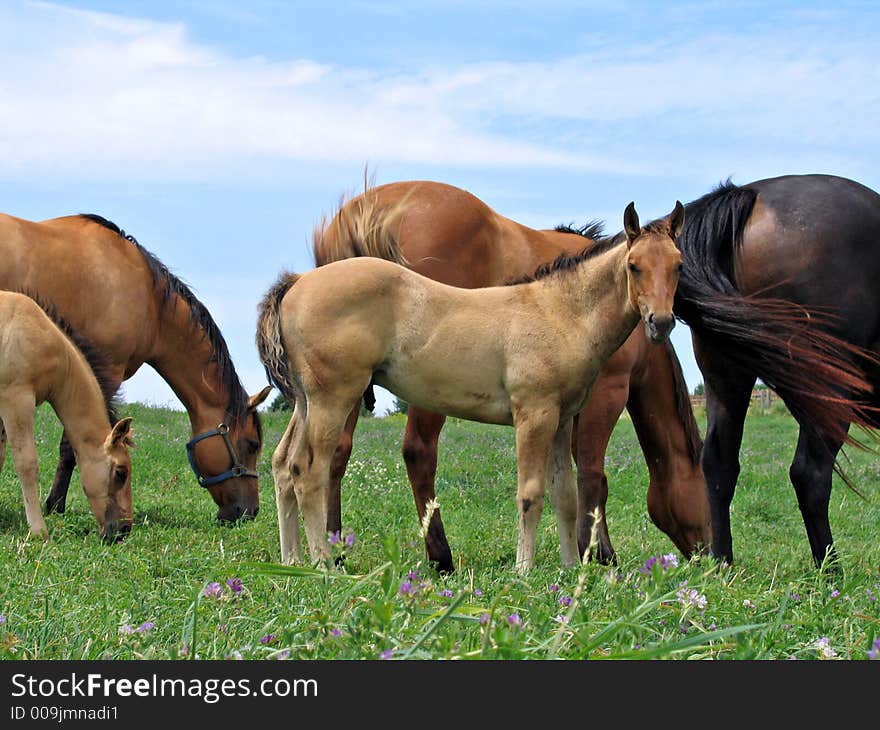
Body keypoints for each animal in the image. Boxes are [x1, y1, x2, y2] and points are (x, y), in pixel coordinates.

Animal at [258, 200, 684, 576]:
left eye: (678, 265)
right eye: (634, 266)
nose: (661, 323)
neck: (559, 313)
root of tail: (298, 283)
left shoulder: (562, 420)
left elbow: (565, 495)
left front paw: (568, 567)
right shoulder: (534, 415)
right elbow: (530, 493)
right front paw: (525, 569)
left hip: (306, 402)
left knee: (283, 465)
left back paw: (292, 560)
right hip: (333, 399)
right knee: (308, 472)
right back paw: (323, 564)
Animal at [672, 172, 880, 568]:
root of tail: (748, 193)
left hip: (726, 378)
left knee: (718, 465)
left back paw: (723, 563)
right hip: (827, 387)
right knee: (810, 474)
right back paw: (831, 571)